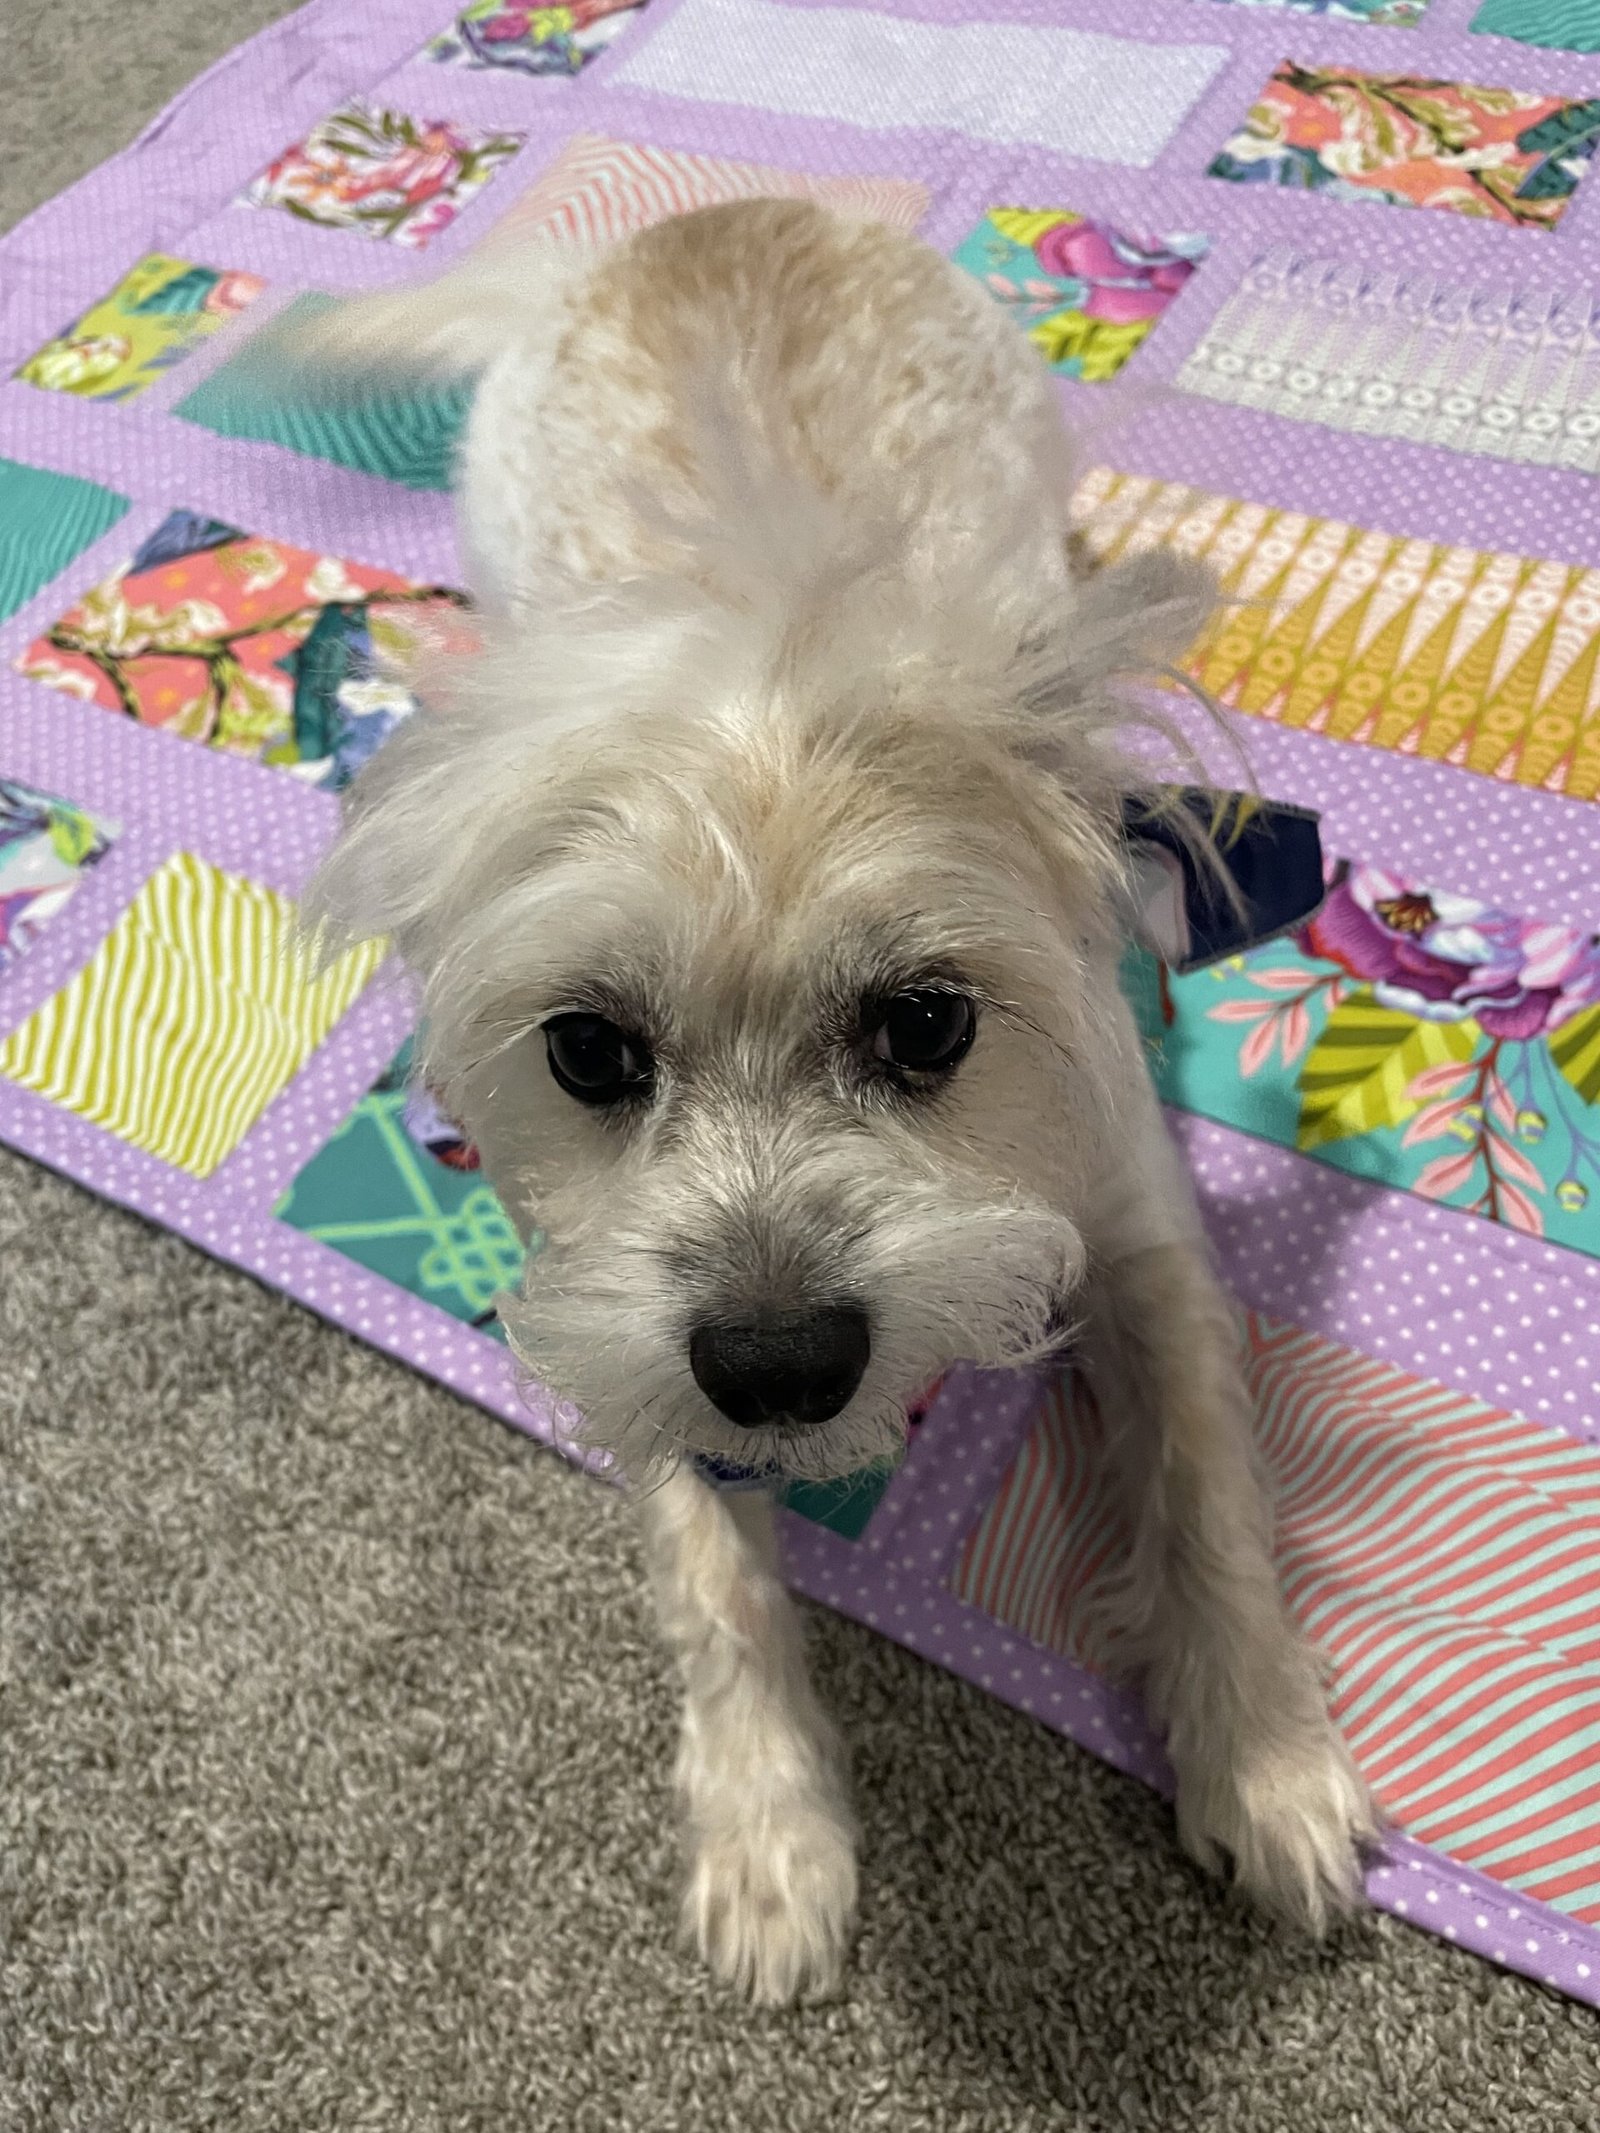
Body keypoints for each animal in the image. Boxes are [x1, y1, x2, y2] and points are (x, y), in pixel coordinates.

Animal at [298, 200, 1382, 1996]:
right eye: (588, 1052)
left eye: (930, 1023)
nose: (779, 1366)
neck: (763, 620)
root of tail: (695, 221)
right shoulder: (608, 1292)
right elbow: (713, 1574)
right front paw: (768, 1825)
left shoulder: (1135, 1217)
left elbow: (1205, 1480)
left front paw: (1269, 1755)